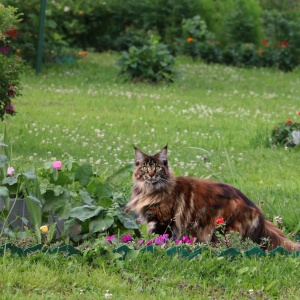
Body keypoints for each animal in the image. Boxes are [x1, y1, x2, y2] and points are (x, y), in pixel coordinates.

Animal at [126, 145, 300, 251]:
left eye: (157, 168)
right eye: (145, 168)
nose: (151, 174)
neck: (149, 191)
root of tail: (260, 216)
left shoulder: (164, 220)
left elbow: (159, 238)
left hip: (220, 231)